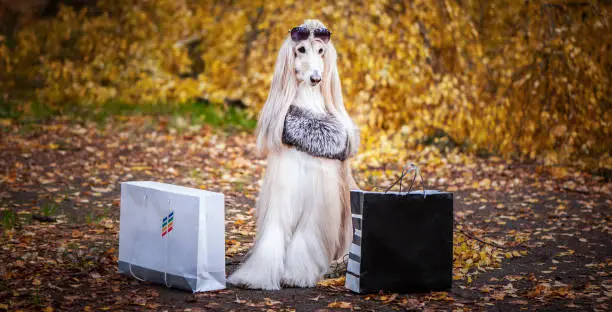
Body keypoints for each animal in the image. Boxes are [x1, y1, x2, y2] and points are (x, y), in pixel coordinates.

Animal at [228, 18, 360, 290]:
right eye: (300, 50)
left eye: (321, 51)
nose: (316, 78)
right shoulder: (283, 189)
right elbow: (274, 235)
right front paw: (256, 276)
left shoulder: (318, 199)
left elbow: (305, 238)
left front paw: (296, 274)